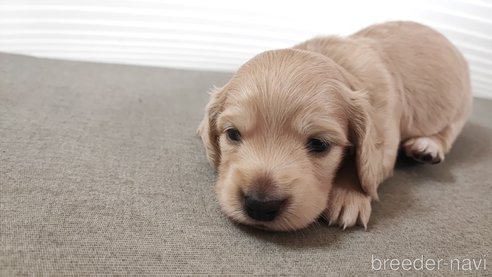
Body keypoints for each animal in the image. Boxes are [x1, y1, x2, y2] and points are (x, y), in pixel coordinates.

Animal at [196, 20, 472, 230]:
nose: (260, 205)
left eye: (319, 145)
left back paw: (427, 146)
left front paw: (348, 195)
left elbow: (364, 164)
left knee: (449, 131)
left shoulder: (385, 138)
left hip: (462, 105)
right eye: (233, 134)